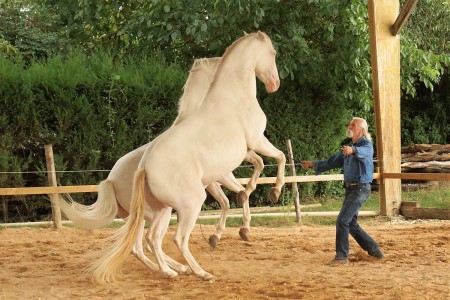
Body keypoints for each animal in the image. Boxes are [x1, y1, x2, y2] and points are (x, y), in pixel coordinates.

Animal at [89, 31, 284, 282]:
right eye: (273, 53)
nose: (275, 84)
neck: (233, 98)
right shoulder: (255, 142)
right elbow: (278, 158)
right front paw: (273, 193)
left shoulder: (241, 156)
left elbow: (255, 172)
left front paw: (238, 226)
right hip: (190, 204)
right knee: (174, 239)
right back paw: (200, 272)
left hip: (160, 211)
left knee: (149, 241)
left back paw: (173, 270)